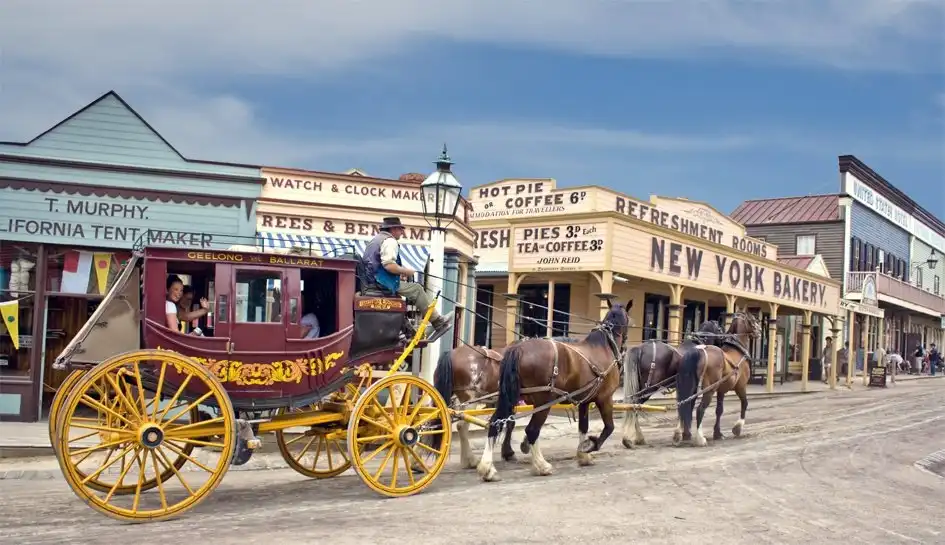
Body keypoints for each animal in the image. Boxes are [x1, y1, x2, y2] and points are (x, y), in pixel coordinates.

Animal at [480, 300, 628, 482]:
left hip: (510, 397)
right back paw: (541, 465)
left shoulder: (584, 401)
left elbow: (583, 427)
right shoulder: (605, 398)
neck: (604, 346)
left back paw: (488, 468)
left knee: (496, 422)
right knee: (532, 430)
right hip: (543, 402)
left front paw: (583, 456)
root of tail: (519, 348)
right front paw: (589, 446)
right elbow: (609, 428)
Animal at [676, 312, 764, 444]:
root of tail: (699, 351)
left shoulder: (721, 390)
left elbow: (719, 410)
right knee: (700, 409)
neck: (737, 349)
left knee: (684, 404)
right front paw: (737, 428)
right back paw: (700, 438)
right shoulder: (741, 386)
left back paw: (681, 434)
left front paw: (717, 433)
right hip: (709, 389)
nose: (760, 331)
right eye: (753, 320)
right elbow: (745, 403)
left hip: (692, 387)